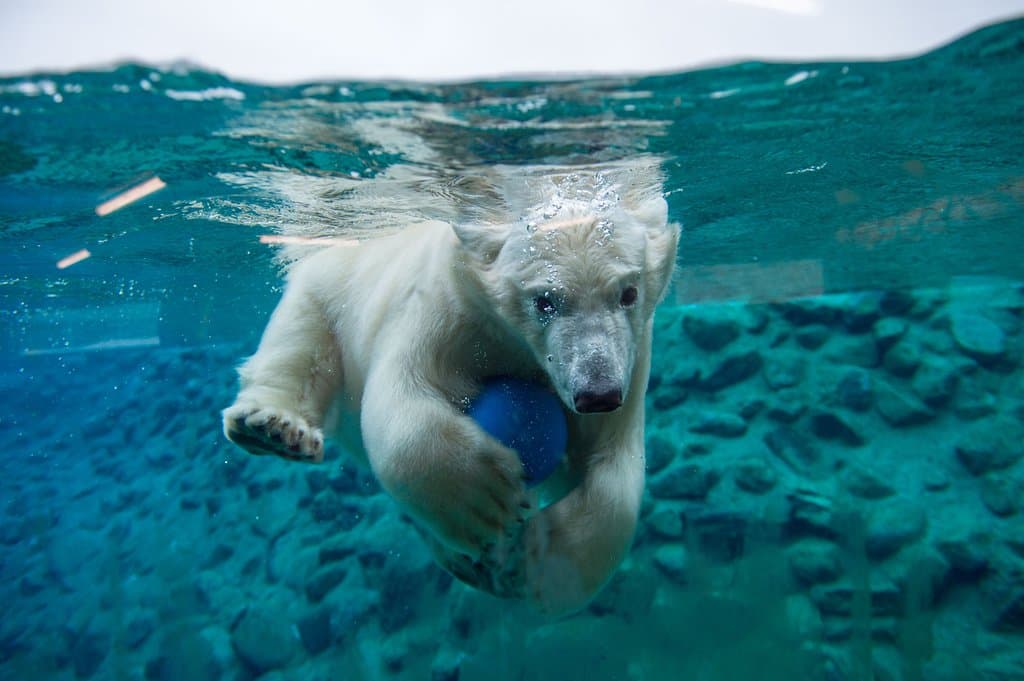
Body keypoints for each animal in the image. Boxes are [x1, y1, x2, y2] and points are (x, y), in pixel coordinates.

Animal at [222, 163, 679, 615]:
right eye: (544, 301)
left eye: (628, 293)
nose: (597, 393)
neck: (513, 342)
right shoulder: (448, 312)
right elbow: (401, 398)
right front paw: (486, 500)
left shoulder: (632, 357)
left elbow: (612, 465)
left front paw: (533, 560)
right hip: (328, 284)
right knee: (299, 345)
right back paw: (272, 428)